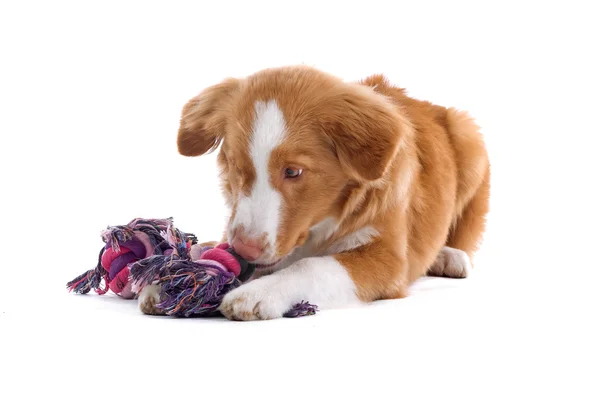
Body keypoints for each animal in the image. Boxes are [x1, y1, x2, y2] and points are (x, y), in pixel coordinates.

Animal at [138, 65, 490, 322]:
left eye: (293, 172)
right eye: (237, 166)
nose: (244, 251)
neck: (320, 225)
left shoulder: (389, 258)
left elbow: (313, 265)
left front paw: (259, 292)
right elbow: (209, 247)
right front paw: (169, 280)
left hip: (469, 140)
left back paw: (449, 256)